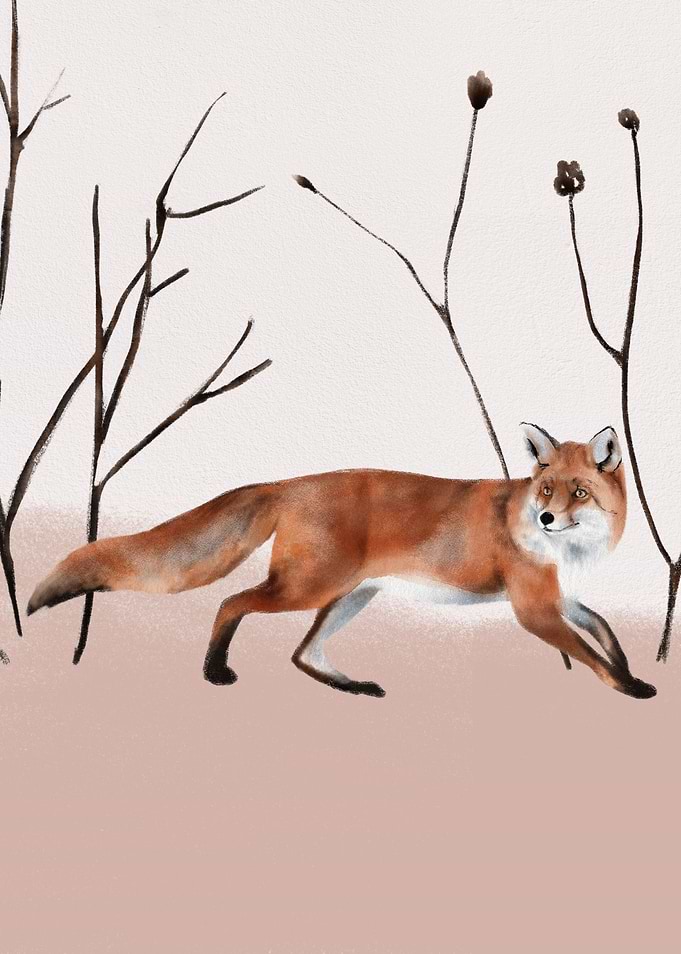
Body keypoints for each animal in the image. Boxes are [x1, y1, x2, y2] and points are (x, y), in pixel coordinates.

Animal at [27, 423, 656, 700]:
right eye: (546, 489)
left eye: (578, 493)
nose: (546, 518)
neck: (564, 552)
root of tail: (288, 483)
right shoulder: (534, 609)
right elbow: (590, 654)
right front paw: (628, 690)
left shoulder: (561, 598)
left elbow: (606, 633)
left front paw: (630, 673)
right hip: (305, 588)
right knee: (231, 603)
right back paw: (214, 670)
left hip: (349, 596)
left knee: (303, 654)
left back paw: (351, 686)